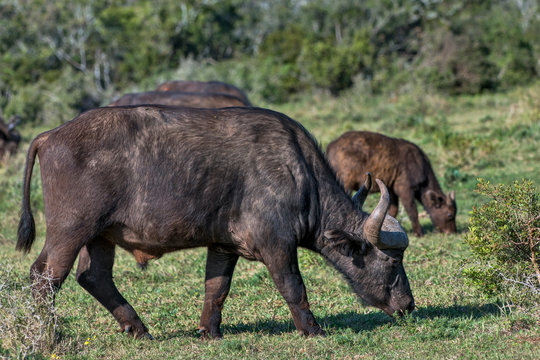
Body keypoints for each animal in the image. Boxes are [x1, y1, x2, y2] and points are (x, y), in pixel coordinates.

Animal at [15, 105, 414, 338]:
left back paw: (138, 328)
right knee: (44, 277)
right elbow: (293, 286)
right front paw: (312, 329)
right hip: (71, 230)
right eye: (392, 261)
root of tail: (50, 136)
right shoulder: (277, 245)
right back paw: (50, 336)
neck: (299, 174)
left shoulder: (223, 245)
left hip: (101, 236)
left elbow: (216, 287)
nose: (408, 305)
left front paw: (210, 331)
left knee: (93, 277)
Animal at [324, 131, 456, 238]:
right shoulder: (404, 189)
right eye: (450, 214)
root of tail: (330, 147)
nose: (452, 232)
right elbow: (412, 211)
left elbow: (393, 210)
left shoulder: (391, 190)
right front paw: (419, 233)